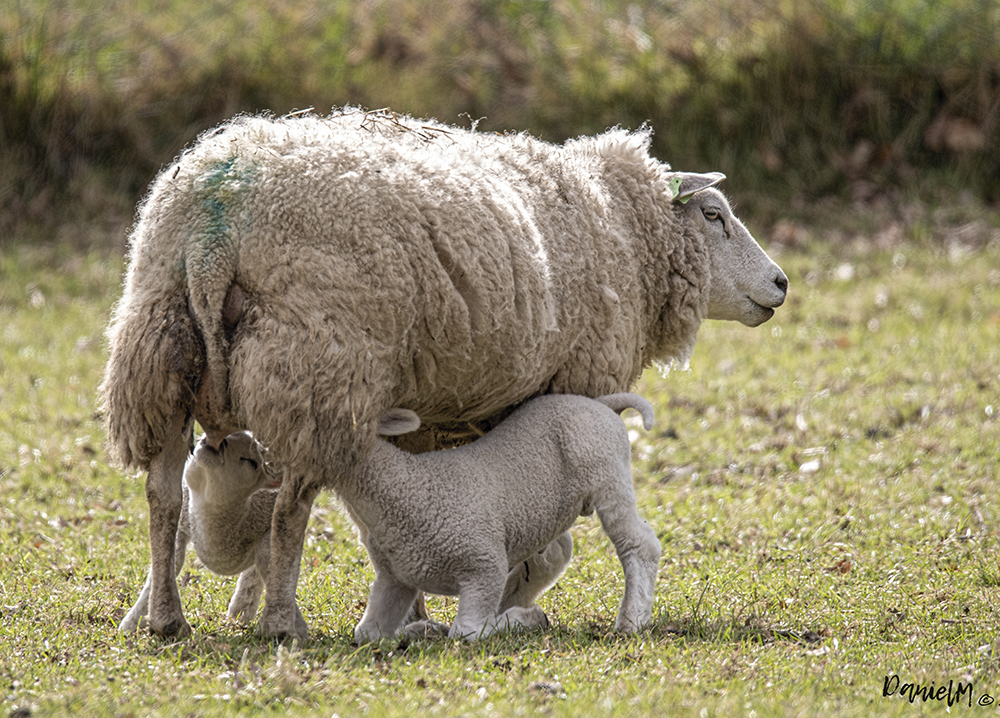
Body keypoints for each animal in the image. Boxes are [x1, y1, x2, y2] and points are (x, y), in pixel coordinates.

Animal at [103, 109, 788, 644]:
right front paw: (502, 604)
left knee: (164, 498)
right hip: (320, 366)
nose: (781, 283)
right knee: (291, 507)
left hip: (158, 358)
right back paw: (280, 622)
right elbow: (549, 543)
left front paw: (418, 611)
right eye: (714, 215)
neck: (620, 225)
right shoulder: (573, 381)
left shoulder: (431, 409)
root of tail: (211, 234)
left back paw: (161, 617)